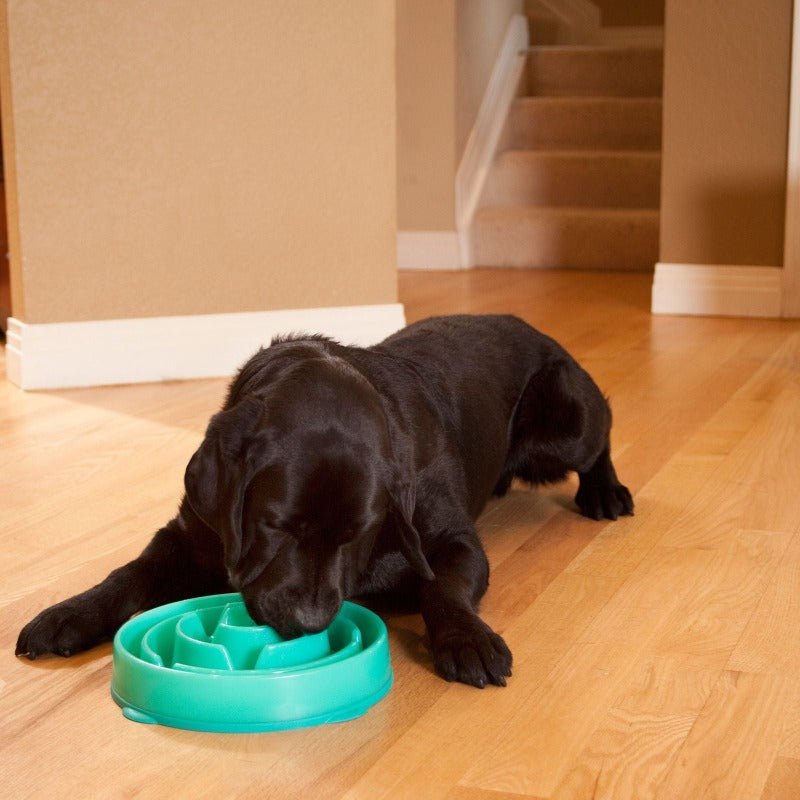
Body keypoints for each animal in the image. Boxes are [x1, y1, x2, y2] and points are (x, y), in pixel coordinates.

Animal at [14, 316, 632, 684]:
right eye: (275, 527)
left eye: (358, 532)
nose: (309, 622)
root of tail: (535, 327)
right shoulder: (190, 535)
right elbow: (128, 575)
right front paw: (68, 613)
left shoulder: (450, 540)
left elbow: (443, 587)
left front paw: (467, 640)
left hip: (564, 423)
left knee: (602, 425)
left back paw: (606, 492)